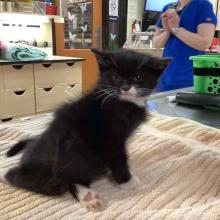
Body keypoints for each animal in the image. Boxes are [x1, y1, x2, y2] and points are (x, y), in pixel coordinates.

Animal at [0, 49, 170, 211]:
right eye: (116, 76)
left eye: (138, 77)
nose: (126, 87)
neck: (123, 101)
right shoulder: (110, 138)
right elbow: (118, 158)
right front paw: (127, 181)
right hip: (74, 150)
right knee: (52, 183)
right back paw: (5, 174)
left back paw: (88, 196)